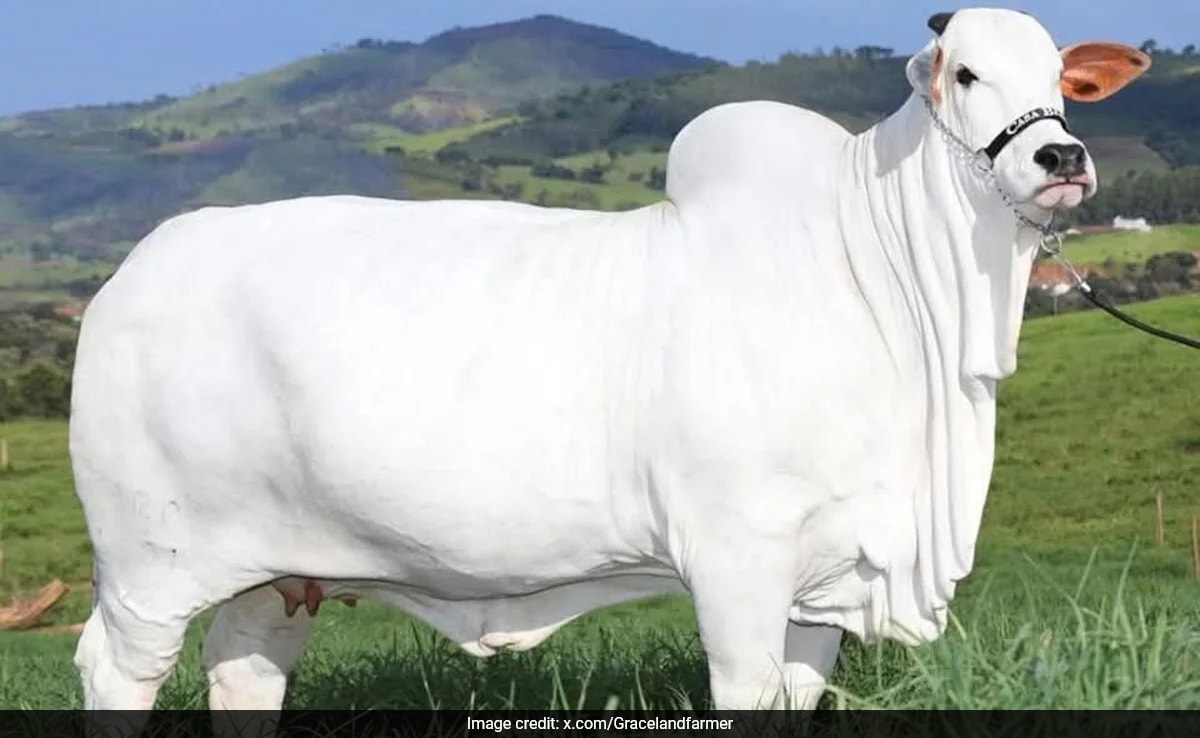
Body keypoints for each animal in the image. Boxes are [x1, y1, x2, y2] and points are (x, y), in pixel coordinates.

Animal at [69, 7, 1149, 720]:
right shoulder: (737, 559)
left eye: (1061, 77)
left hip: (277, 572)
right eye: (964, 74)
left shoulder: (826, 576)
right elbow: (745, 691)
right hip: (147, 566)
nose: (1061, 160)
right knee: (115, 671)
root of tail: (133, 272)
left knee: (245, 666)